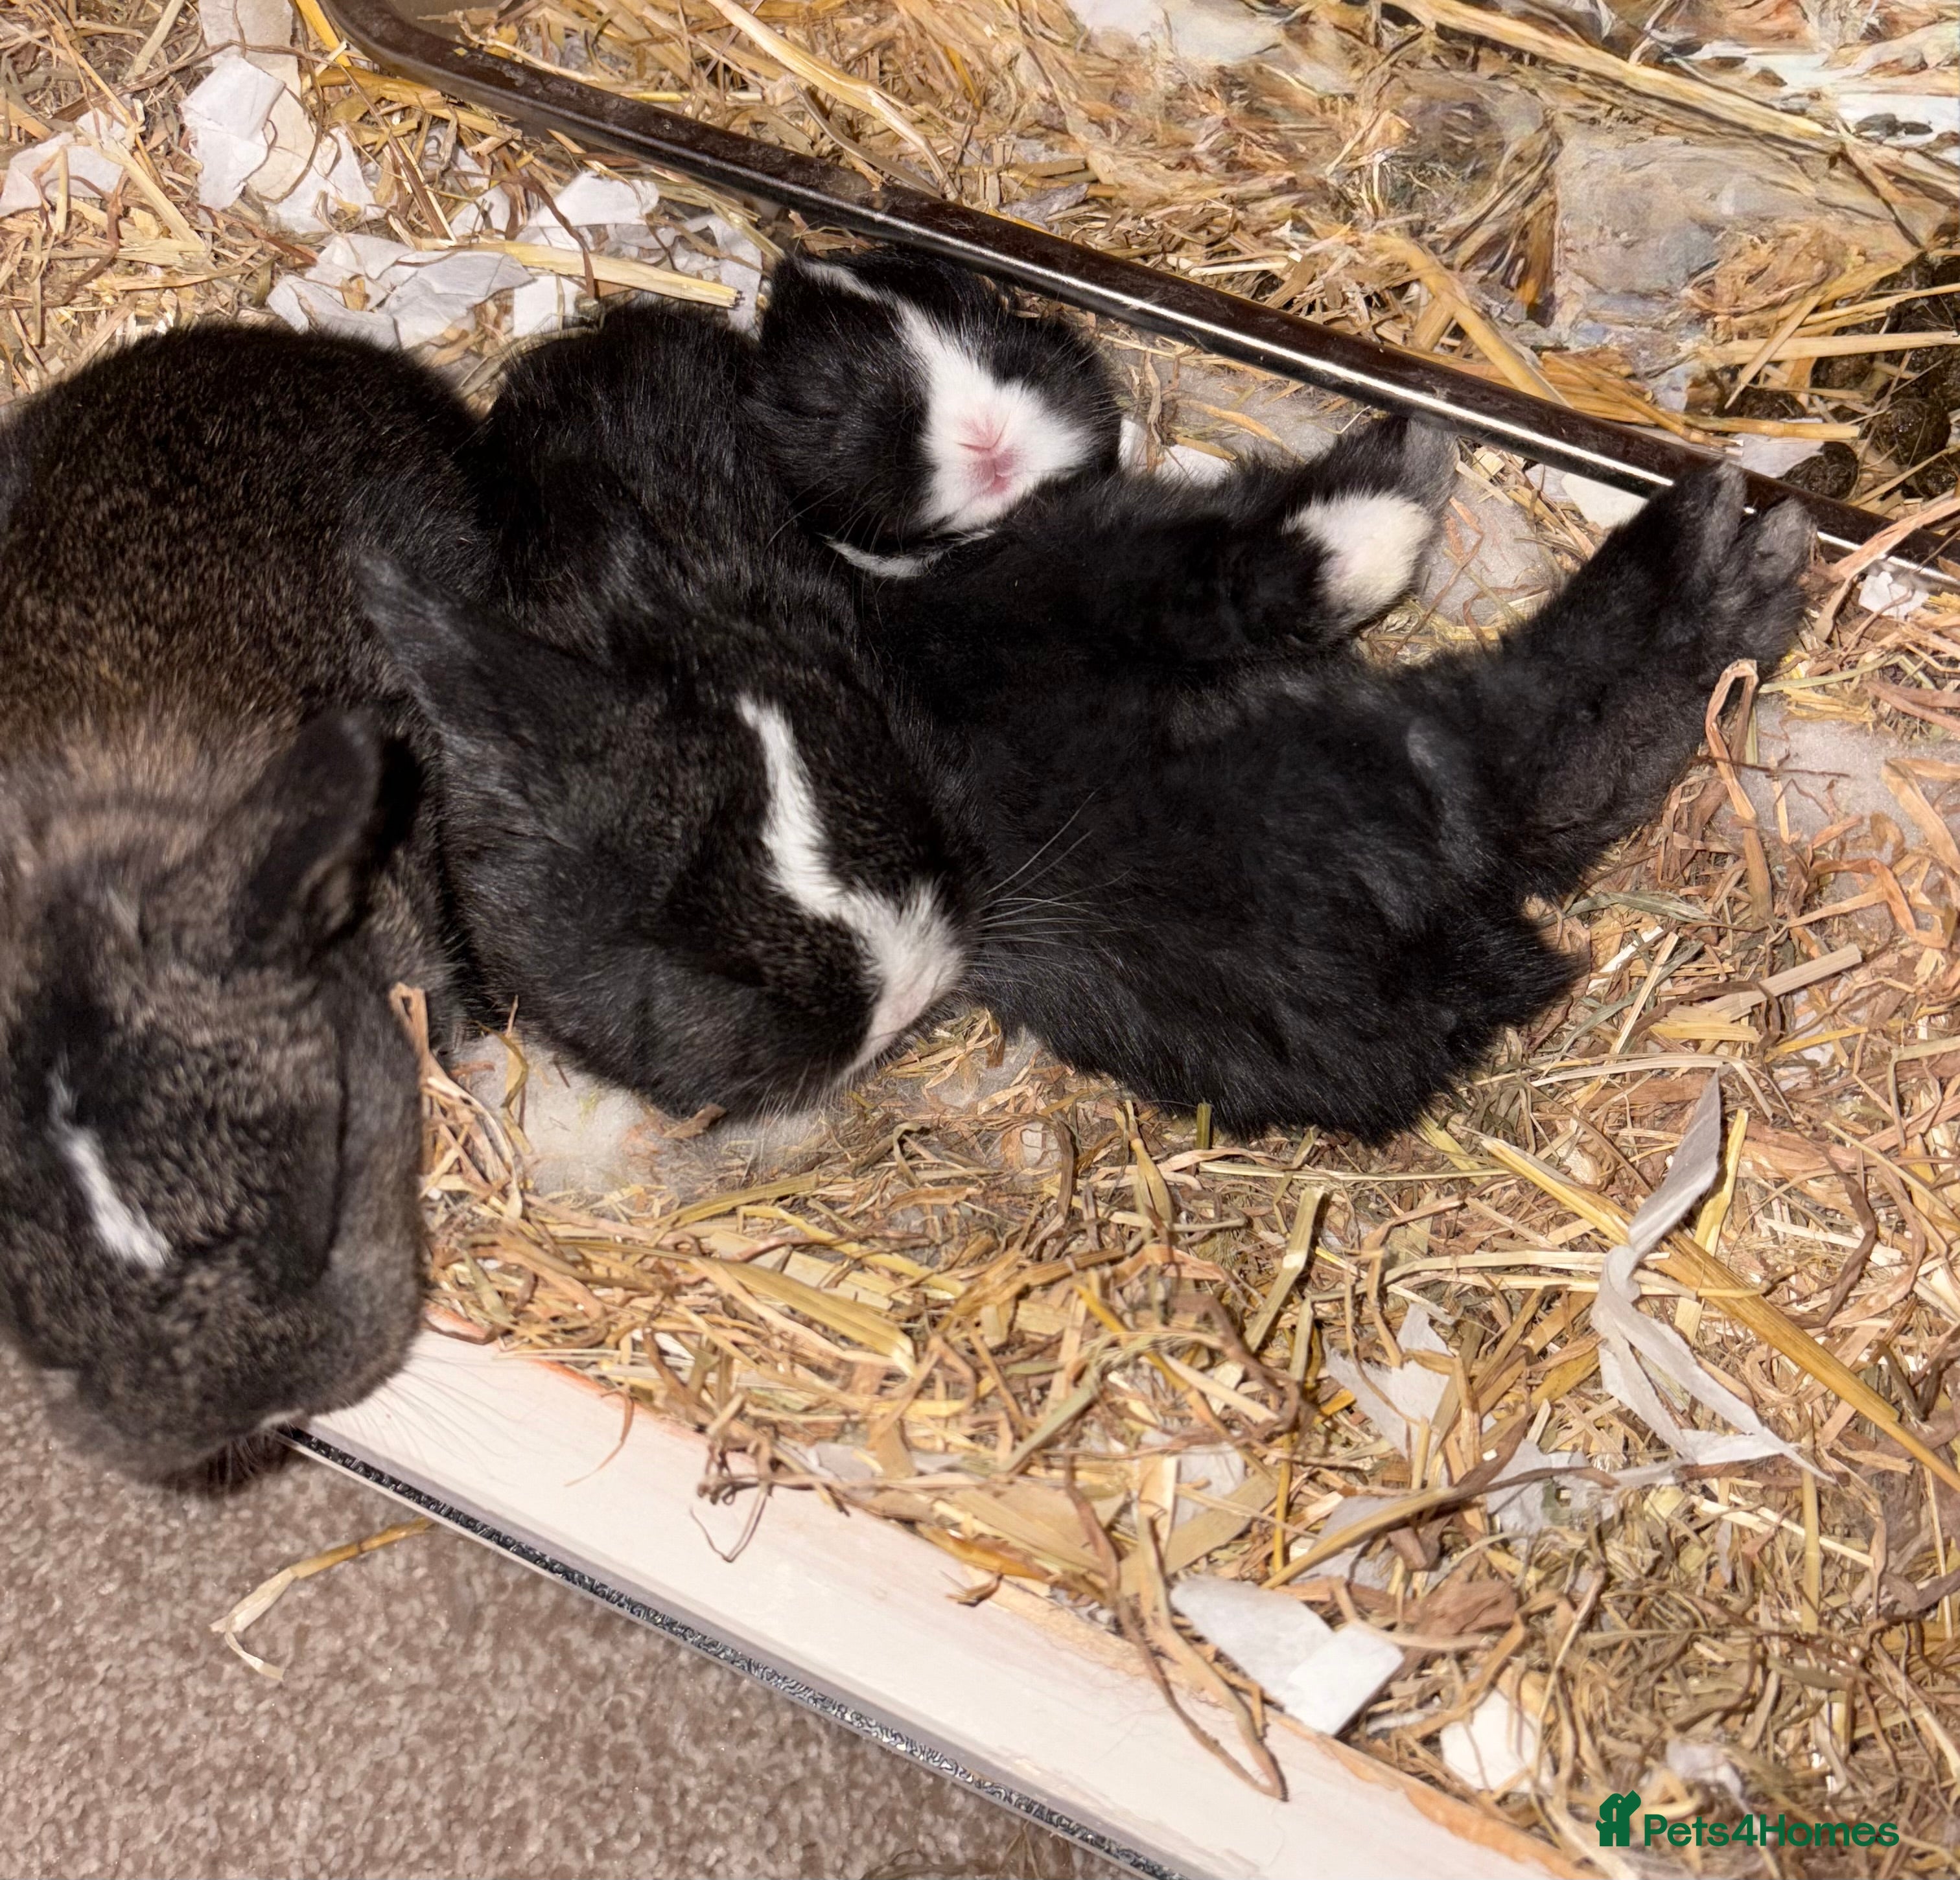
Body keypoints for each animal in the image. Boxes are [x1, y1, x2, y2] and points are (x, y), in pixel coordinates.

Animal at [750, 251, 1816, 1138]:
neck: (947, 563)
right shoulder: (1157, 568)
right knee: (1552, 713)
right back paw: (1726, 540)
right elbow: (1303, 567)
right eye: (824, 402)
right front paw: (1409, 456)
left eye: (994, 319)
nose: (983, 432)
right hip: (1429, 741)